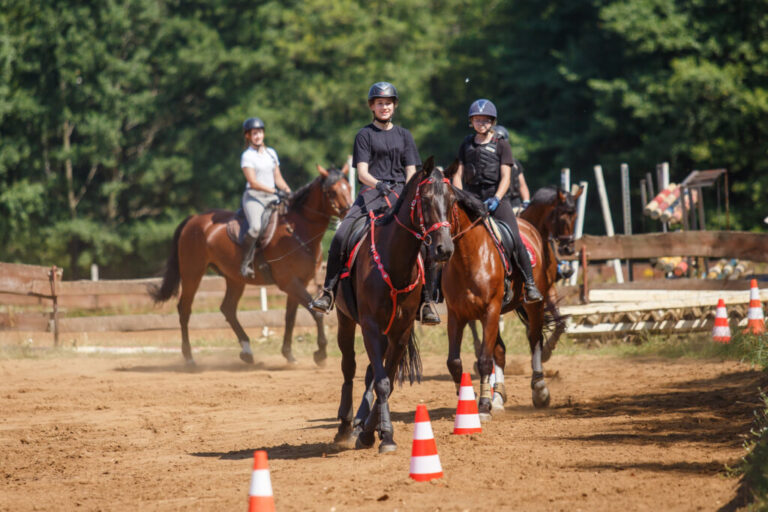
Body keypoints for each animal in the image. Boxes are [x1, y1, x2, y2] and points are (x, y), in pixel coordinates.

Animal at [149, 164, 353, 366]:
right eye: (332, 192)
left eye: (349, 188)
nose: (349, 213)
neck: (297, 232)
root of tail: (193, 219)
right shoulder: (289, 282)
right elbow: (316, 313)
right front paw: (320, 353)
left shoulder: (299, 282)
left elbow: (290, 318)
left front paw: (288, 354)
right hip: (193, 273)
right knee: (185, 309)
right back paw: (189, 358)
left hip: (234, 278)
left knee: (228, 309)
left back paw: (247, 351)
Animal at [333, 157, 455, 454]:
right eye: (425, 198)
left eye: (453, 200)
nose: (445, 249)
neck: (394, 263)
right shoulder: (371, 327)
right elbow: (382, 381)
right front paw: (382, 434)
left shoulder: (400, 331)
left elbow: (384, 379)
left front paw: (375, 432)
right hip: (346, 320)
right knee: (349, 367)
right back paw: (345, 424)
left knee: (368, 372)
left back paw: (361, 424)